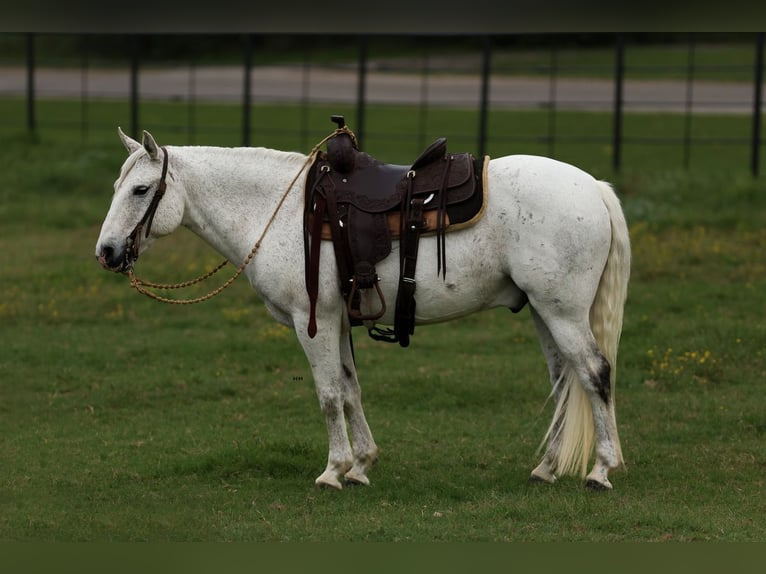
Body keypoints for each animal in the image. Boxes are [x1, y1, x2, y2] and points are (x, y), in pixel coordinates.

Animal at [96, 128, 632, 492]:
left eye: (140, 190)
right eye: (116, 187)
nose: (107, 252)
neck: (282, 212)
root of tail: (595, 188)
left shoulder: (310, 323)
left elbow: (329, 395)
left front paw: (333, 470)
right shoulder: (336, 322)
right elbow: (351, 390)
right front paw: (361, 464)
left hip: (562, 312)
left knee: (594, 373)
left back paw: (602, 470)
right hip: (544, 311)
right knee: (564, 381)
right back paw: (547, 467)